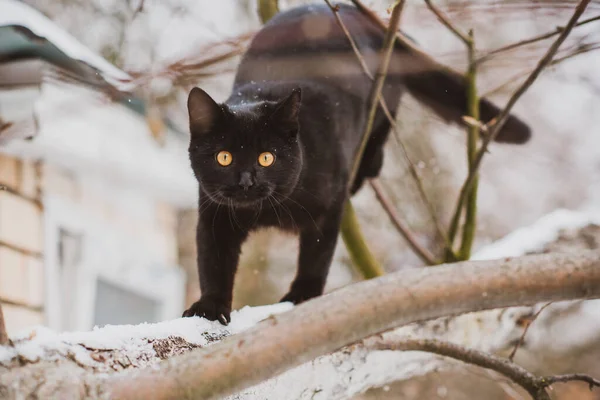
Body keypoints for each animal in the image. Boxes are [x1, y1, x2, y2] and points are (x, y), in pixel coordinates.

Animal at [183, 3, 528, 324]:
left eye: (266, 157)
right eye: (224, 157)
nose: (246, 180)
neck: (265, 211)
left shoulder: (328, 207)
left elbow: (317, 254)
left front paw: (303, 295)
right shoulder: (214, 216)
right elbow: (213, 263)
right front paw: (209, 308)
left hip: (382, 102)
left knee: (378, 146)